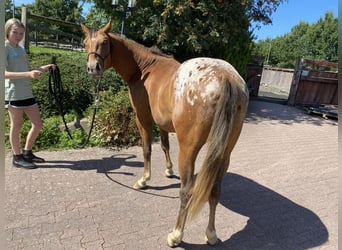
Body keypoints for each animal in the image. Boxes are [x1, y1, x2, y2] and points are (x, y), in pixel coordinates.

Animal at [81, 21, 250, 246]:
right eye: (85, 43)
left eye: (105, 42)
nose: (93, 68)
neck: (144, 68)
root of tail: (225, 76)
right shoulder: (162, 123)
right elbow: (164, 145)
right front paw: (169, 170)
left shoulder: (143, 119)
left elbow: (147, 150)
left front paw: (144, 180)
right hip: (225, 152)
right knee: (215, 190)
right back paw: (211, 234)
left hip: (189, 150)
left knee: (186, 191)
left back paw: (176, 235)